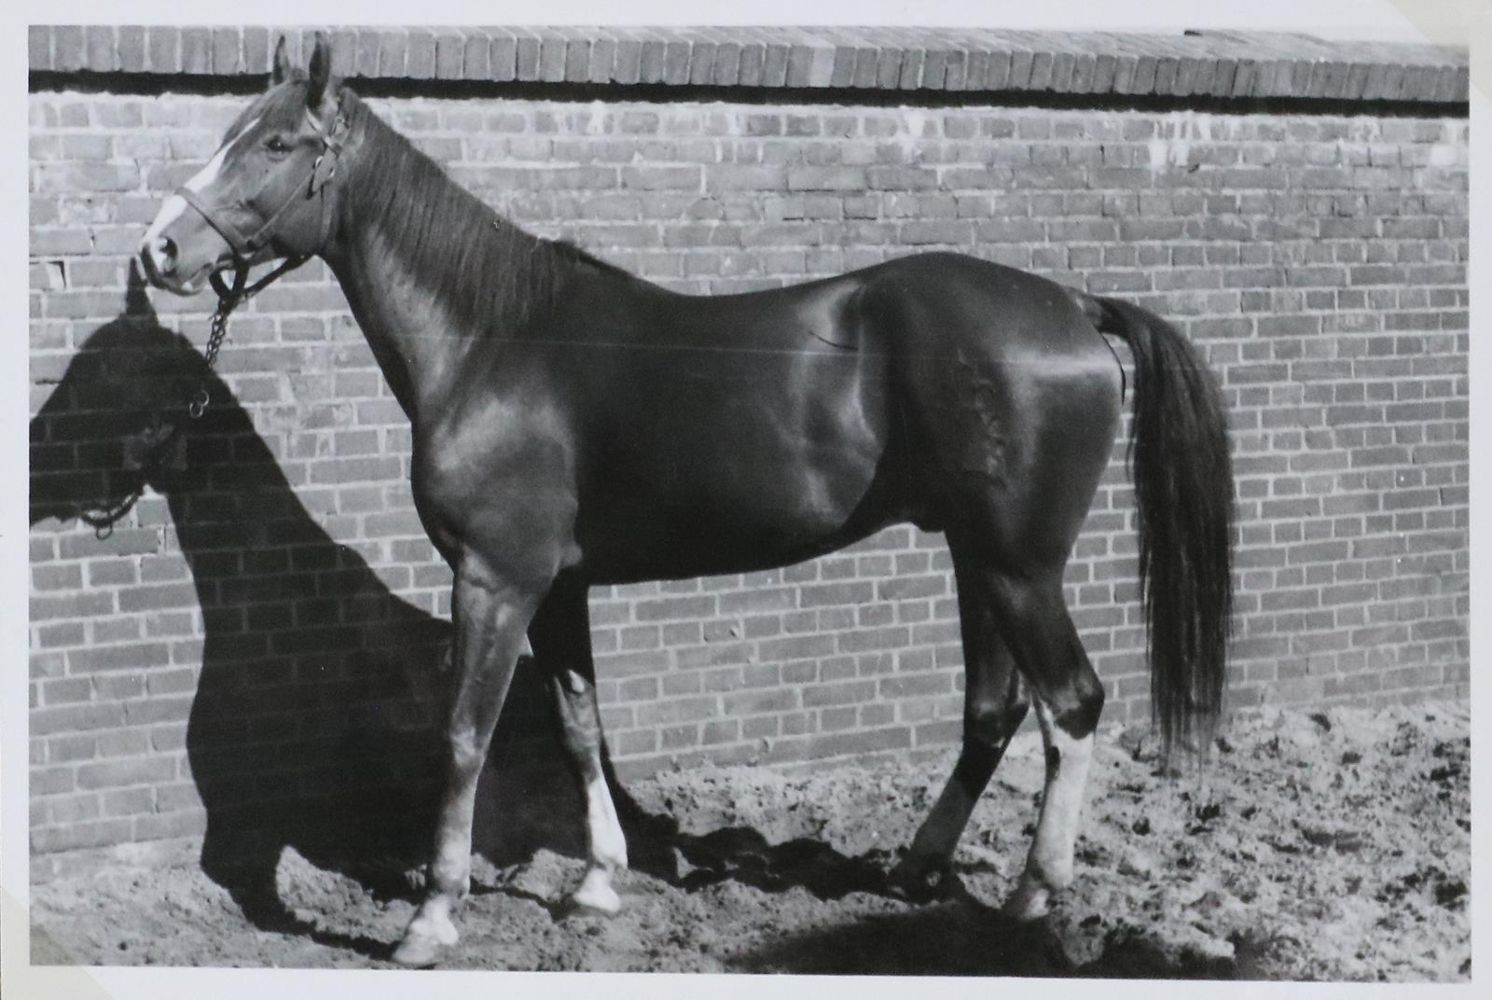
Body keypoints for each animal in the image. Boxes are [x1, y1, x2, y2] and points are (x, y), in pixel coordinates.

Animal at [138, 33, 1234, 967]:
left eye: (276, 142)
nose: (159, 251)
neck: (493, 339)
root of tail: (1072, 307)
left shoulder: (496, 579)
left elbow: (463, 735)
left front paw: (432, 916)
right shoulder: (560, 586)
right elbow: (579, 725)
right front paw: (596, 884)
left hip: (1020, 567)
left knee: (1072, 707)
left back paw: (1033, 896)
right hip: (978, 559)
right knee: (994, 710)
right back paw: (919, 869)